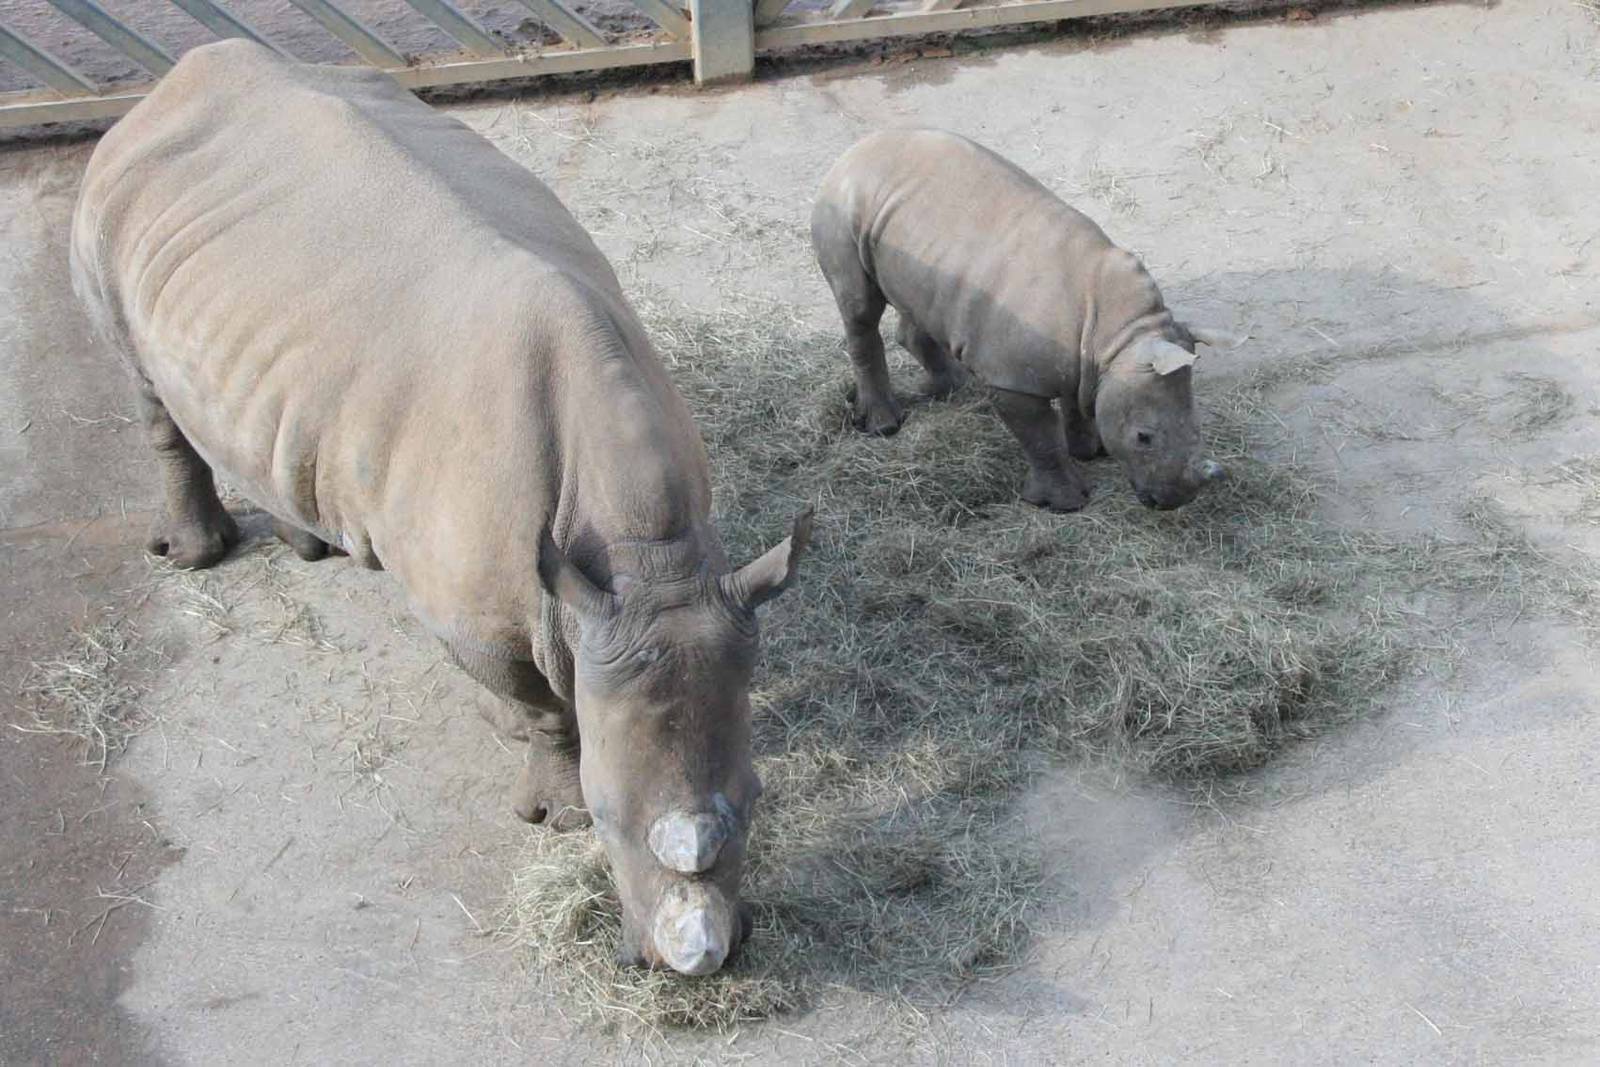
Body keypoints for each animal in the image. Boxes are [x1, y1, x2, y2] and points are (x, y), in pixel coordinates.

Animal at [70, 40, 810, 978]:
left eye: (759, 798)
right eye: (606, 823)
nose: (699, 964)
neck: (646, 559)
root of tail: (171, 82)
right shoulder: (479, 617)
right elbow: (543, 705)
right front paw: (551, 808)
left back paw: (307, 543)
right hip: (109, 210)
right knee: (144, 383)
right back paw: (194, 554)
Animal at [812, 128, 1238, 511]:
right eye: (1143, 437)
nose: (1175, 501)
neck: (1117, 335)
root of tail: (852, 151)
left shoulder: (1082, 354)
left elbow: (1076, 400)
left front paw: (1090, 450)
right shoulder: (1013, 378)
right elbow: (1040, 438)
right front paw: (1065, 503)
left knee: (919, 300)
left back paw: (952, 386)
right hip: (843, 204)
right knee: (860, 309)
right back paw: (884, 425)